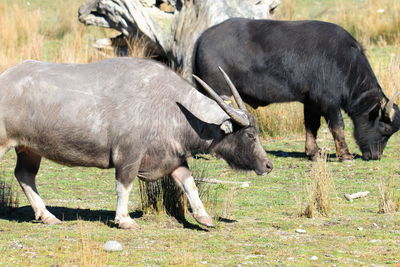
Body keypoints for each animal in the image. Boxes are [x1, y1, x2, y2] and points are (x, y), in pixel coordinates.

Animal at [0, 57, 272, 229]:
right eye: (250, 135)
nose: (268, 165)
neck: (169, 105)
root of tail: (6, 78)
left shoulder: (173, 159)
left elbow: (190, 184)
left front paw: (203, 217)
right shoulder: (128, 156)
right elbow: (125, 185)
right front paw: (124, 220)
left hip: (29, 149)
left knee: (24, 175)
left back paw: (47, 216)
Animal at [192, 18, 398, 162]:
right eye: (386, 128)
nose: (376, 155)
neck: (345, 62)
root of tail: (203, 37)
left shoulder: (311, 102)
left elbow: (311, 126)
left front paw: (313, 152)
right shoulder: (328, 102)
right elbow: (337, 125)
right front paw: (345, 155)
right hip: (221, 92)